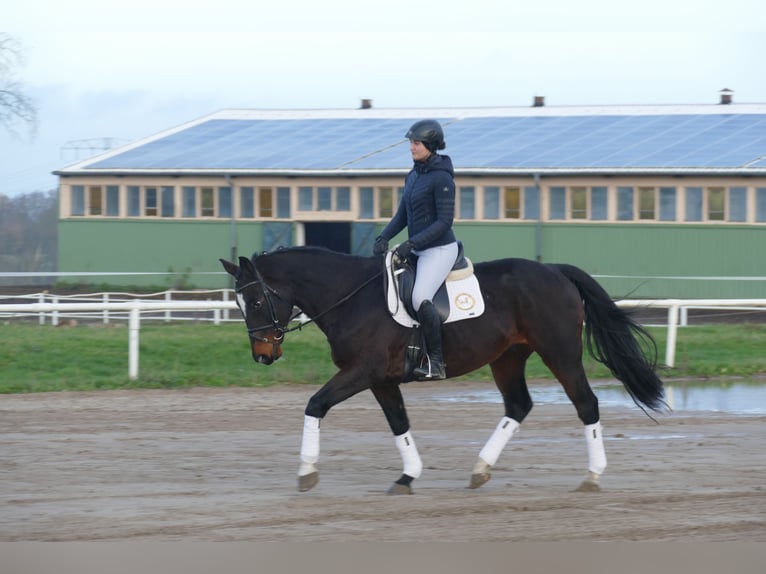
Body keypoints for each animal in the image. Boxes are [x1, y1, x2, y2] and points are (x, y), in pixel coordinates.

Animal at [220, 246, 664, 496]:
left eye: (256, 301)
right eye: (239, 303)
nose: (263, 355)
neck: (351, 297)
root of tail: (555, 270)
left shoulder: (362, 371)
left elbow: (315, 405)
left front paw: (307, 473)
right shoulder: (379, 379)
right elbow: (399, 423)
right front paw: (407, 477)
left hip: (560, 352)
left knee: (586, 404)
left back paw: (592, 477)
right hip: (508, 357)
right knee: (518, 405)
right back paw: (480, 470)